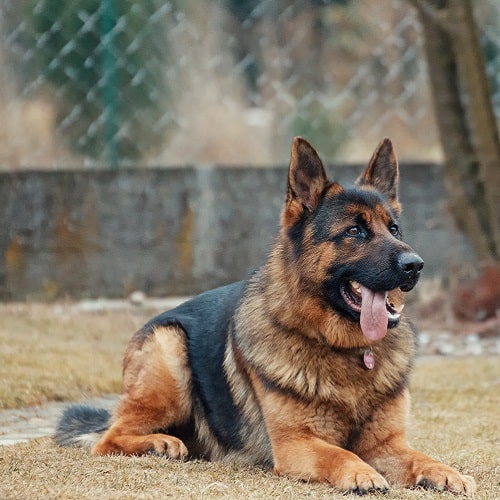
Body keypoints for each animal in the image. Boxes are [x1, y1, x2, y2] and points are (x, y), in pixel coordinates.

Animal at [55, 137, 476, 496]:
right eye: (355, 231)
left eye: (394, 229)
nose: (415, 265)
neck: (344, 350)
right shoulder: (296, 444)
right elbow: (338, 453)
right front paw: (361, 473)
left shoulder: (388, 444)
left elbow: (422, 457)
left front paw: (448, 472)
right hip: (169, 350)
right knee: (108, 438)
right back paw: (160, 442)